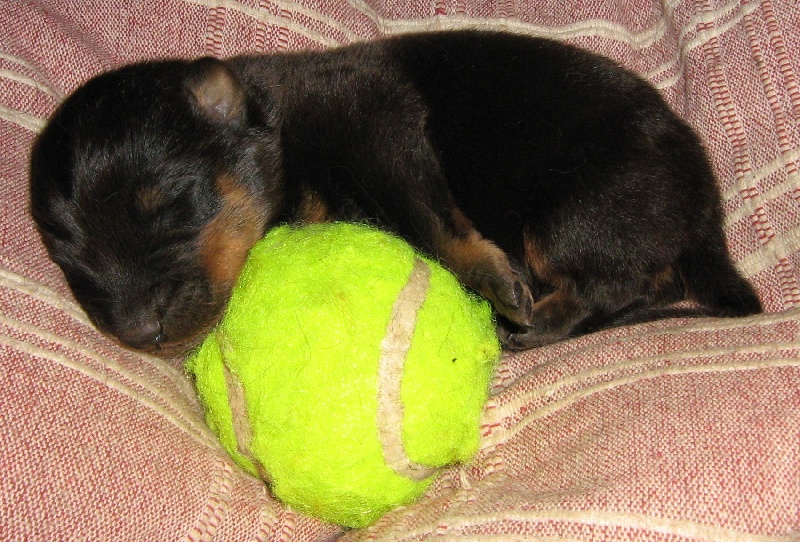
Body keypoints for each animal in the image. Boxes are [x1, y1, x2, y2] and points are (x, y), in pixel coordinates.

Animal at [29, 30, 761, 358]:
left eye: (172, 206)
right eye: (71, 262)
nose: (138, 333)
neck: (278, 128)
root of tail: (706, 202)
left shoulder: (375, 118)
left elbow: (431, 216)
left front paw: (491, 278)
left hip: (576, 214)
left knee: (623, 279)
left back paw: (536, 321)